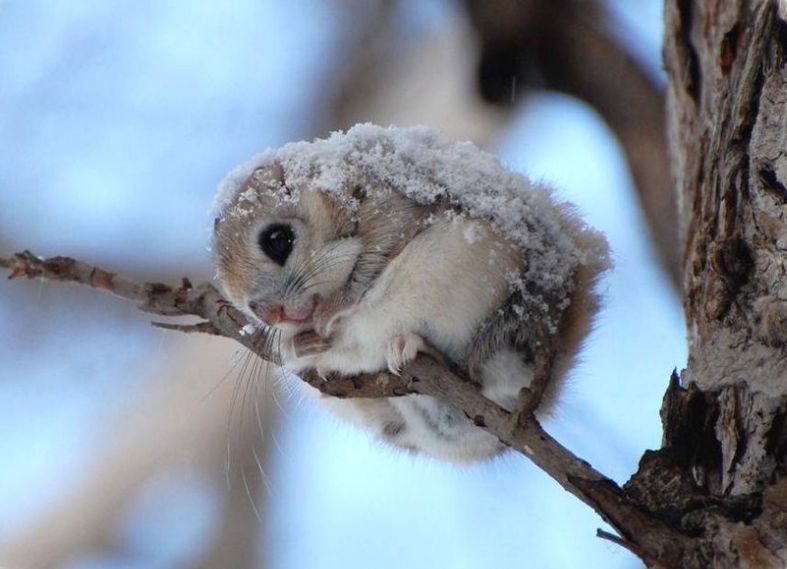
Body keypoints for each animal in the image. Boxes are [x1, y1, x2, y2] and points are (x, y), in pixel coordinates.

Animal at [212, 124, 610, 463]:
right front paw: (298, 344)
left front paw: (332, 311)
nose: (270, 314)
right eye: (243, 303)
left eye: (278, 240)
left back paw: (415, 346)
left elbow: (369, 265)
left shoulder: (390, 208)